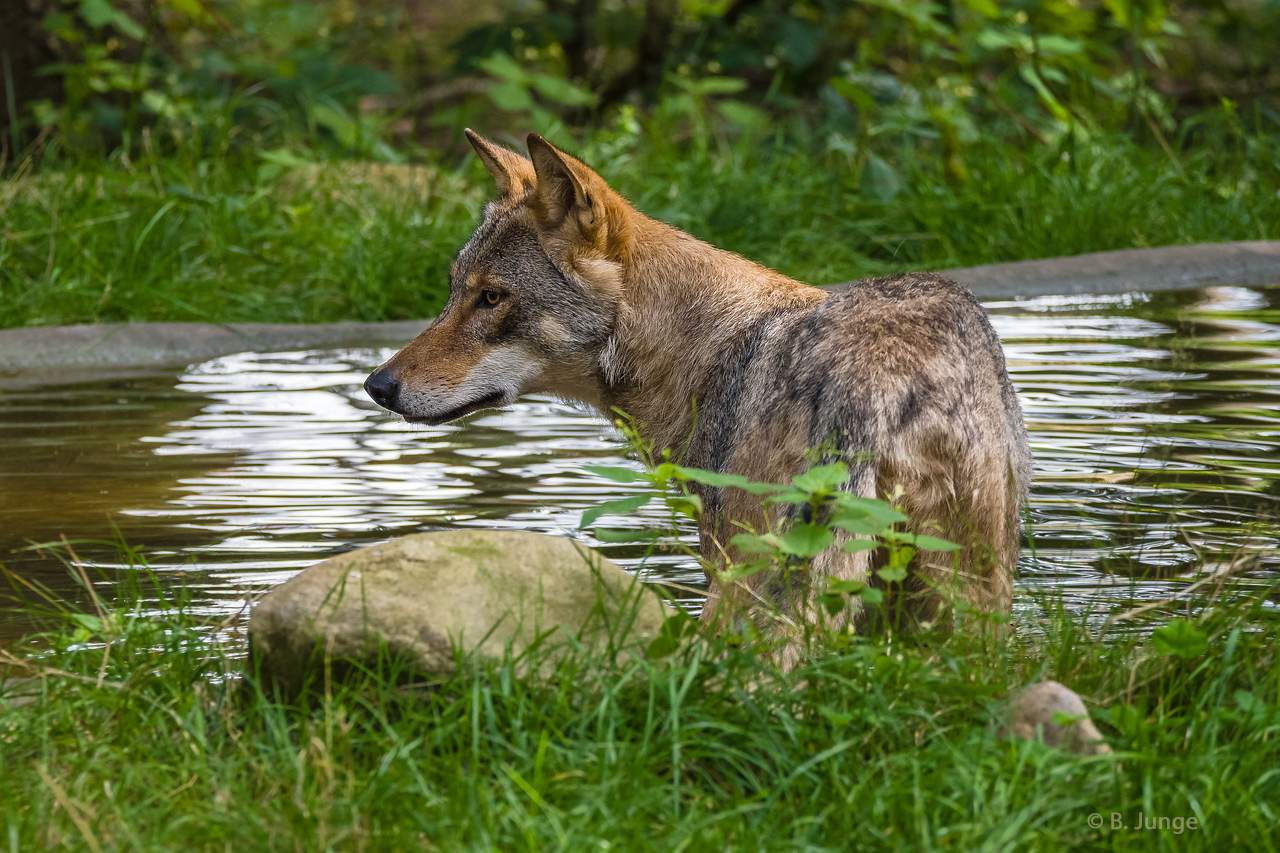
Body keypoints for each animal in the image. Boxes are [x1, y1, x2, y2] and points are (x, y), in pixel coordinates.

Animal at [366, 131, 1034, 650]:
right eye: (455, 290)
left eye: (492, 297)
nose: (377, 385)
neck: (706, 352)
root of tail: (883, 370)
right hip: (961, 601)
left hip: (752, 586)